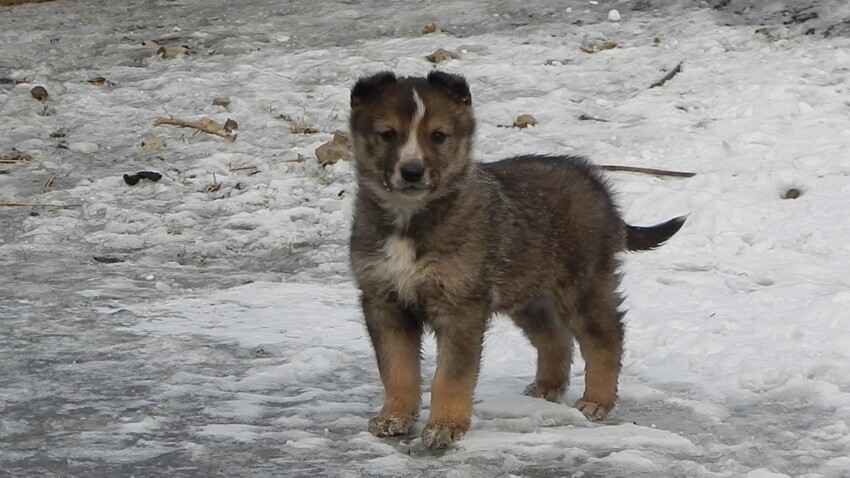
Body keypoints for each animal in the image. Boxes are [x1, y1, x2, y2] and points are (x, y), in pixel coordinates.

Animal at [344, 70, 684, 448]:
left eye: (439, 136)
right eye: (388, 134)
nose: (412, 171)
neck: (409, 218)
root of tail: (597, 185)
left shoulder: (460, 305)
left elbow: (451, 376)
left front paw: (445, 426)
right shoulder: (383, 301)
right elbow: (396, 368)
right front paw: (394, 417)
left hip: (583, 284)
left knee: (606, 338)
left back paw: (598, 401)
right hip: (529, 293)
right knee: (556, 337)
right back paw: (547, 387)